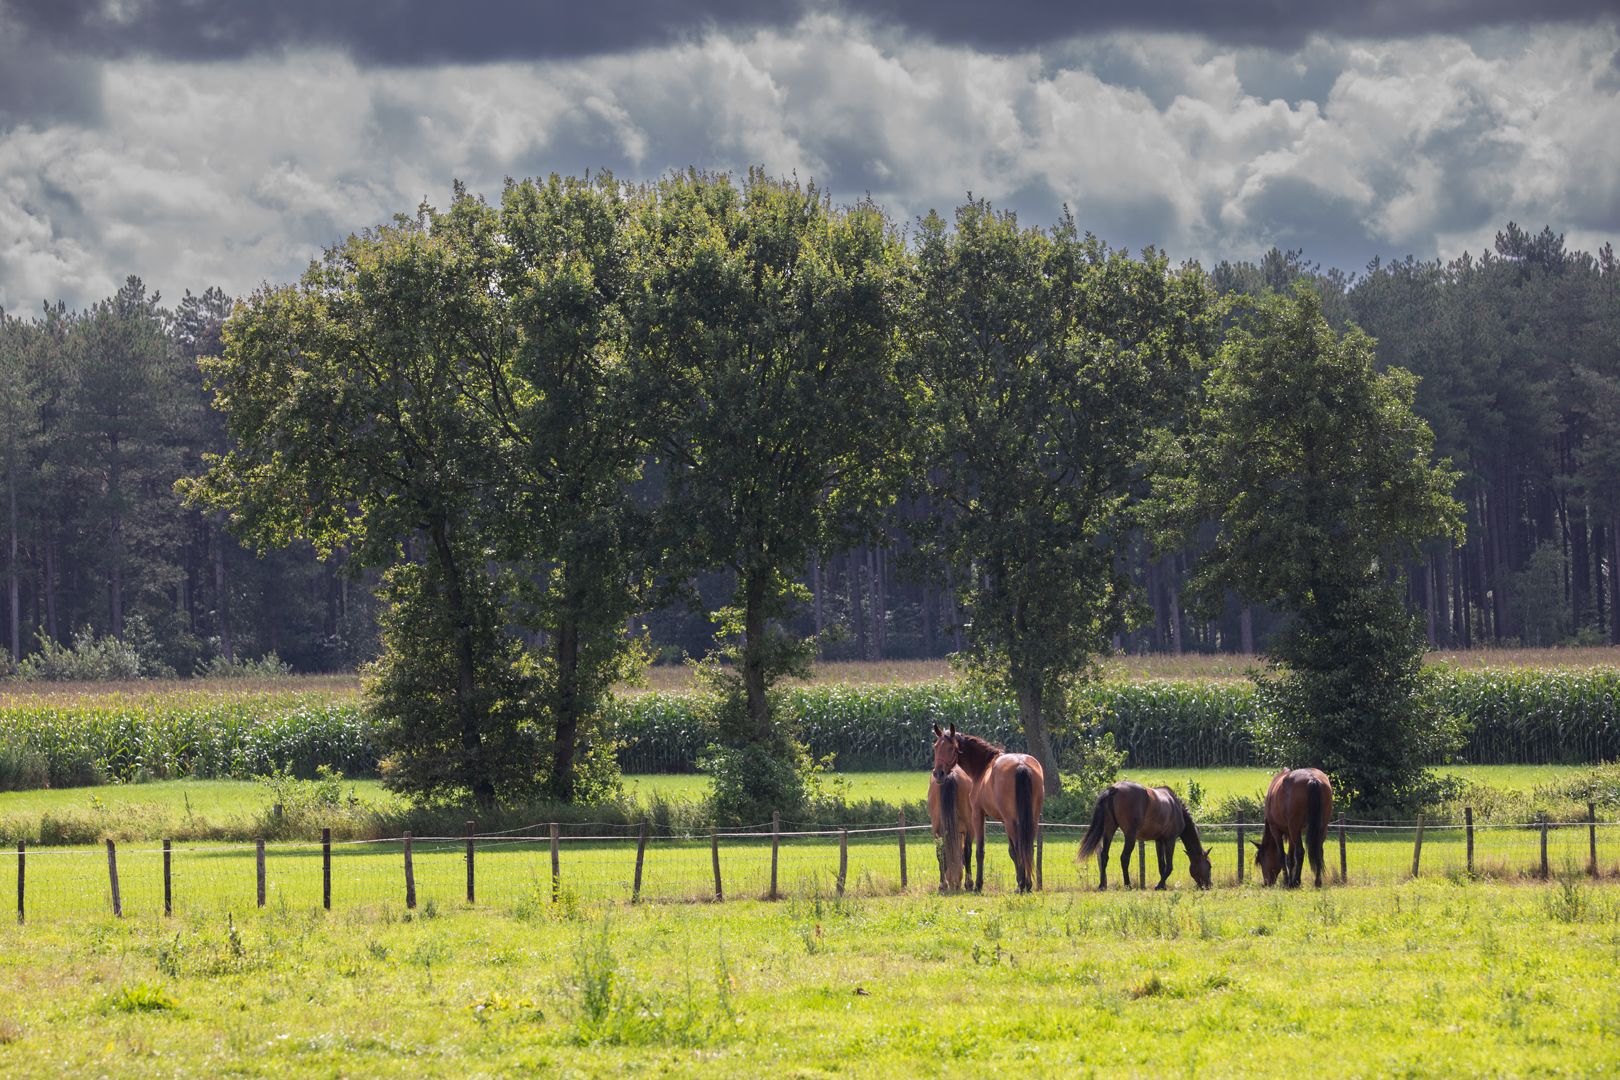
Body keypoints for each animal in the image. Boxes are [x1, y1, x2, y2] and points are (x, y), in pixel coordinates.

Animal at [931, 724, 1044, 893]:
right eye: (936, 747)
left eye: (951, 748)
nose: (938, 773)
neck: (983, 767)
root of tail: (1021, 764)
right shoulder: (1003, 820)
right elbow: (1012, 852)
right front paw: (1019, 882)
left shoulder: (978, 815)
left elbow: (979, 851)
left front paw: (978, 885)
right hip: (1031, 820)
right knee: (1027, 848)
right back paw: (1026, 884)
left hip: (1011, 822)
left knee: (1021, 848)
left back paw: (1023, 885)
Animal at [1077, 781, 1213, 890]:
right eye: (1209, 866)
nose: (1209, 885)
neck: (1175, 807)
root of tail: (1114, 789)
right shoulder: (1170, 840)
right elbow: (1169, 866)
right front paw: (1159, 885)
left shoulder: (1159, 841)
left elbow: (1161, 865)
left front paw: (1163, 886)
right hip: (1130, 836)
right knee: (1124, 858)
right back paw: (1128, 885)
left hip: (1109, 830)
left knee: (1104, 856)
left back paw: (1102, 885)